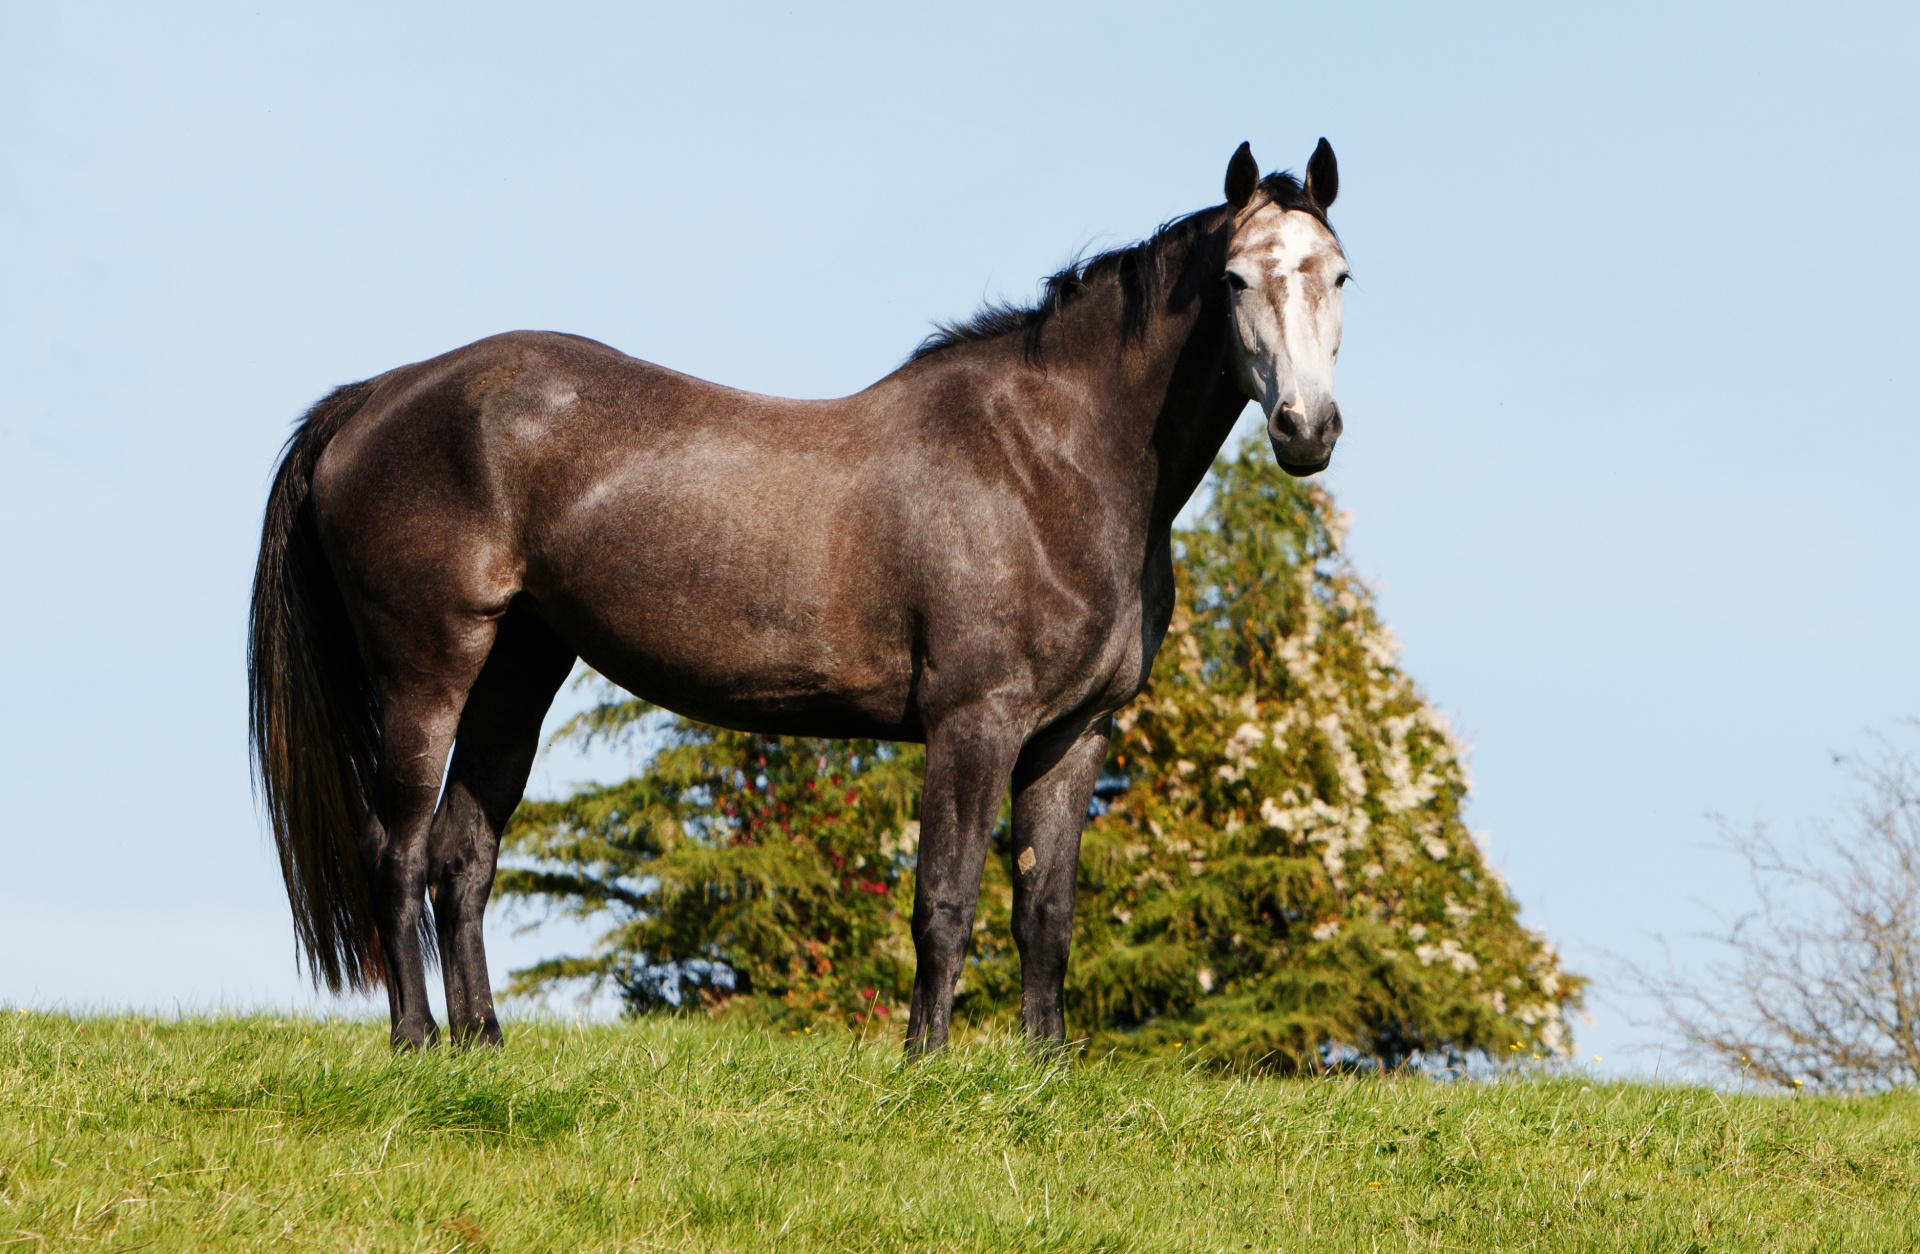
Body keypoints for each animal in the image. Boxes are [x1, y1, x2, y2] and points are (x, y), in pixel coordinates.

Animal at [247, 137, 1351, 1044]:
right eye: (1233, 278)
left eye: (1340, 273)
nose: (1306, 428)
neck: (1051, 461)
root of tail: (376, 397)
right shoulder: (974, 722)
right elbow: (944, 903)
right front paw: (926, 1067)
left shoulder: (1073, 736)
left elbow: (1045, 914)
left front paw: (1045, 1068)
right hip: (427, 668)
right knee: (396, 846)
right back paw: (417, 1042)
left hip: (520, 664)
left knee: (461, 853)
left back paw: (484, 1044)